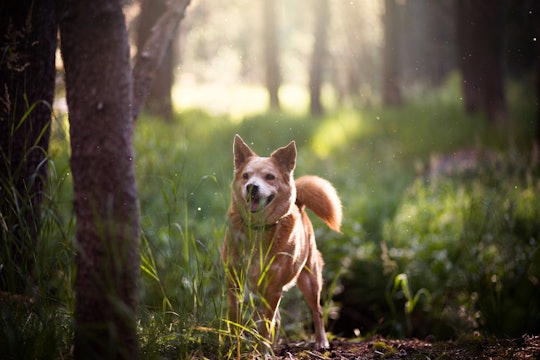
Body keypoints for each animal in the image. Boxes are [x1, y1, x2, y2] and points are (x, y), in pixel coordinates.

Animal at [220, 134, 342, 350]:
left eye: (270, 177)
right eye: (246, 176)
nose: (251, 187)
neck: (258, 229)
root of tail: (298, 203)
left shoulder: (273, 288)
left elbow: (266, 325)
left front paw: (263, 350)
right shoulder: (234, 281)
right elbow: (235, 318)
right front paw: (235, 346)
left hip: (310, 280)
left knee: (317, 311)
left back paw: (321, 341)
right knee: (277, 319)